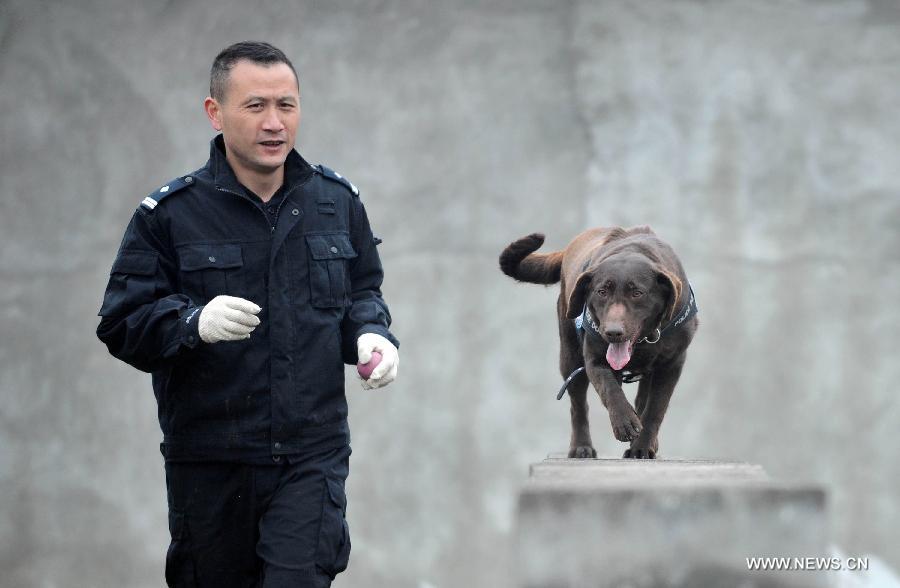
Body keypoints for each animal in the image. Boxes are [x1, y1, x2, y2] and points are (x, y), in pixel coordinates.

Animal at [500, 225, 696, 460]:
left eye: (637, 293)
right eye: (602, 292)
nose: (612, 332)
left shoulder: (672, 364)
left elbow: (655, 408)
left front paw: (641, 447)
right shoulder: (594, 359)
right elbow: (609, 388)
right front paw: (624, 421)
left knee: (642, 401)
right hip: (570, 357)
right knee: (578, 406)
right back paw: (581, 446)